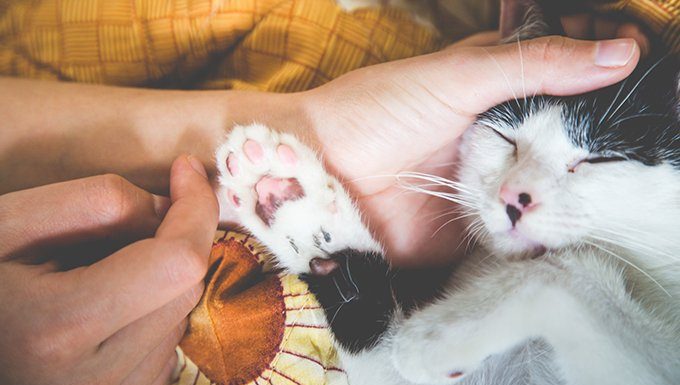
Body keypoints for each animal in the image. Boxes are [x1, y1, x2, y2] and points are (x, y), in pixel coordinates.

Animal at [215, 1, 680, 382]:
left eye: (602, 159)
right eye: (505, 137)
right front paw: (290, 202)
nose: (513, 198)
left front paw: (430, 338)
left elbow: (567, 270)